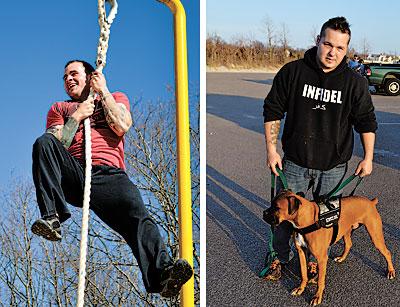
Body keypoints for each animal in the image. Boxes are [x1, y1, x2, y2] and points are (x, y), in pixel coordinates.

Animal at [266, 191, 394, 306]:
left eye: (276, 207)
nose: (264, 212)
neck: (307, 222)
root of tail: (371, 202)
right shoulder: (301, 252)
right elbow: (303, 274)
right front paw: (300, 289)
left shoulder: (322, 259)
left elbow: (320, 281)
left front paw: (317, 297)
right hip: (346, 231)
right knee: (349, 244)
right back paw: (341, 258)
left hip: (375, 236)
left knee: (387, 252)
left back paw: (391, 271)